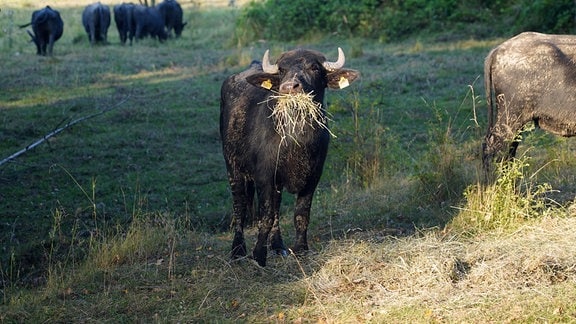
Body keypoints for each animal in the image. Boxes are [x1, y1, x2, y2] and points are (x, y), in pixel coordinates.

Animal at [220, 47, 360, 266]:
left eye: (314, 67)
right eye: (282, 70)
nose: (289, 87)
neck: (296, 139)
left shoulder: (312, 177)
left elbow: (301, 215)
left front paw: (301, 249)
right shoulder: (264, 177)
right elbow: (265, 216)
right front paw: (259, 255)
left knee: (276, 209)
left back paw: (278, 246)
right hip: (233, 168)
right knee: (240, 206)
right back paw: (237, 250)